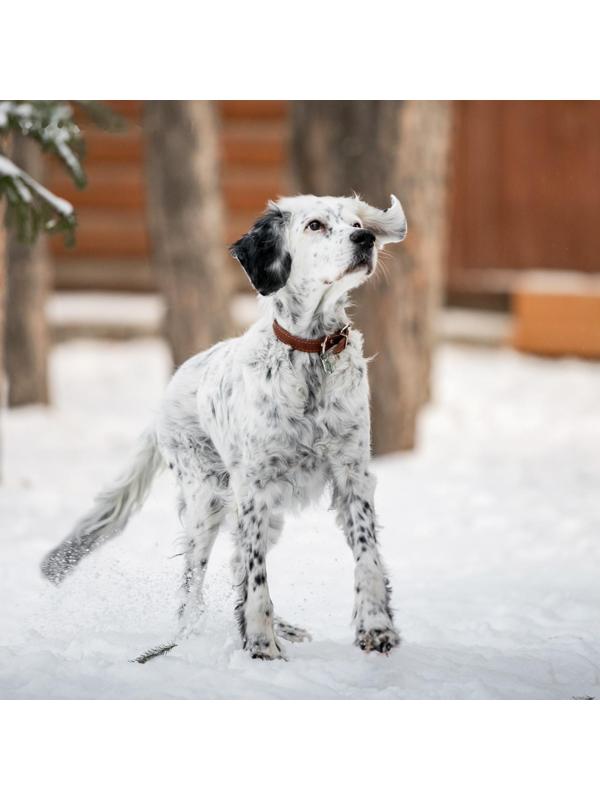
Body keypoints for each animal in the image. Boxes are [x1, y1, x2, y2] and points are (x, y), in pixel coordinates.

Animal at [41, 194, 408, 664]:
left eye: (359, 224)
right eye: (315, 225)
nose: (365, 241)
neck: (312, 354)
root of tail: (170, 391)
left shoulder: (352, 474)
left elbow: (367, 556)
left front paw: (377, 629)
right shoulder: (253, 488)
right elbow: (256, 578)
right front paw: (261, 644)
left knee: (235, 565)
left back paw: (282, 627)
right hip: (206, 501)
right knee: (192, 590)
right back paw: (188, 639)